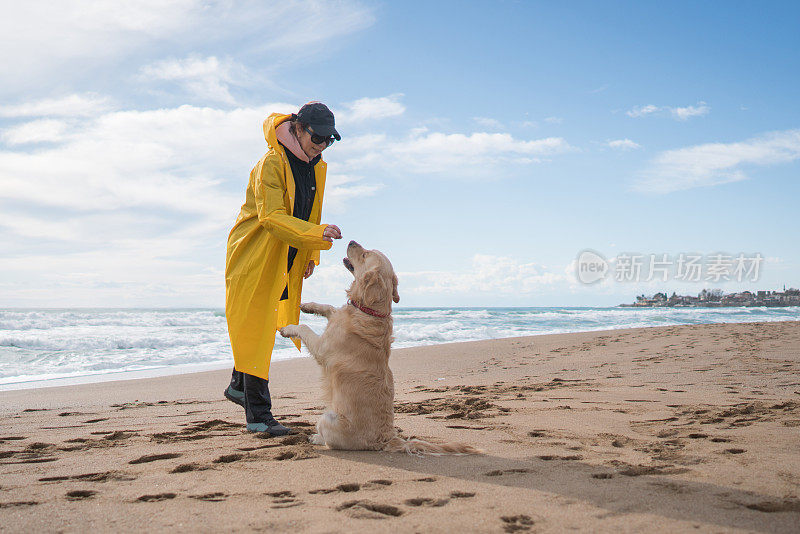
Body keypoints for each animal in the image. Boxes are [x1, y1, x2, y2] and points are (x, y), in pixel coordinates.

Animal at [282, 243, 478, 456]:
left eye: (365, 254)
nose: (350, 241)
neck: (368, 311)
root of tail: (385, 440)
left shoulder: (322, 348)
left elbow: (304, 327)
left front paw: (287, 328)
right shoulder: (335, 317)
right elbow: (329, 307)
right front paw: (307, 305)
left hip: (327, 418)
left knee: (328, 440)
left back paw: (315, 438)